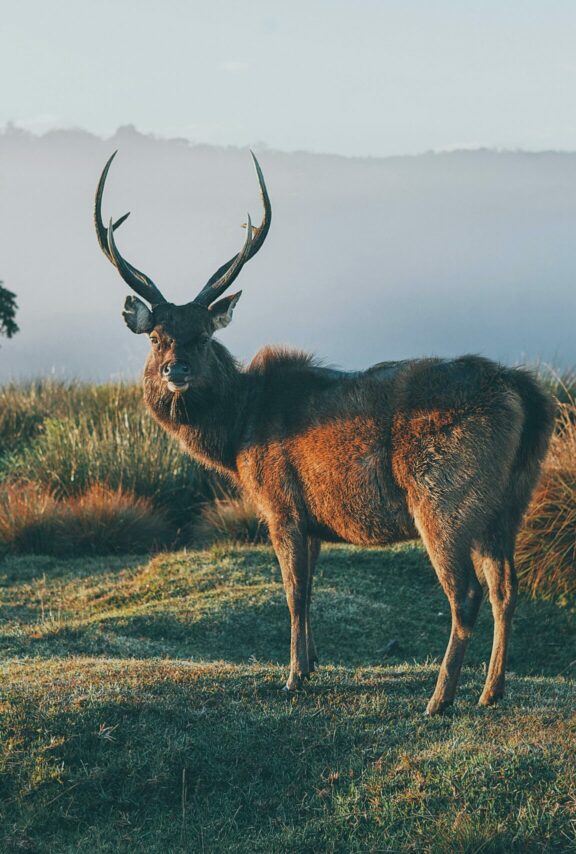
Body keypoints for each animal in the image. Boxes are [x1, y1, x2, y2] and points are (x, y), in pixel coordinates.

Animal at [93, 152, 552, 716]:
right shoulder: (313, 519)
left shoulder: (280, 503)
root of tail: (527, 393)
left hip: (445, 497)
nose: (174, 370)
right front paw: (311, 664)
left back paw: (439, 698)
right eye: (157, 336)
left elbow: (292, 592)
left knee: (465, 594)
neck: (238, 435)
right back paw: (492, 690)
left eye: (202, 337)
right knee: (506, 587)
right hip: (510, 501)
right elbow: (310, 591)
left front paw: (291, 677)